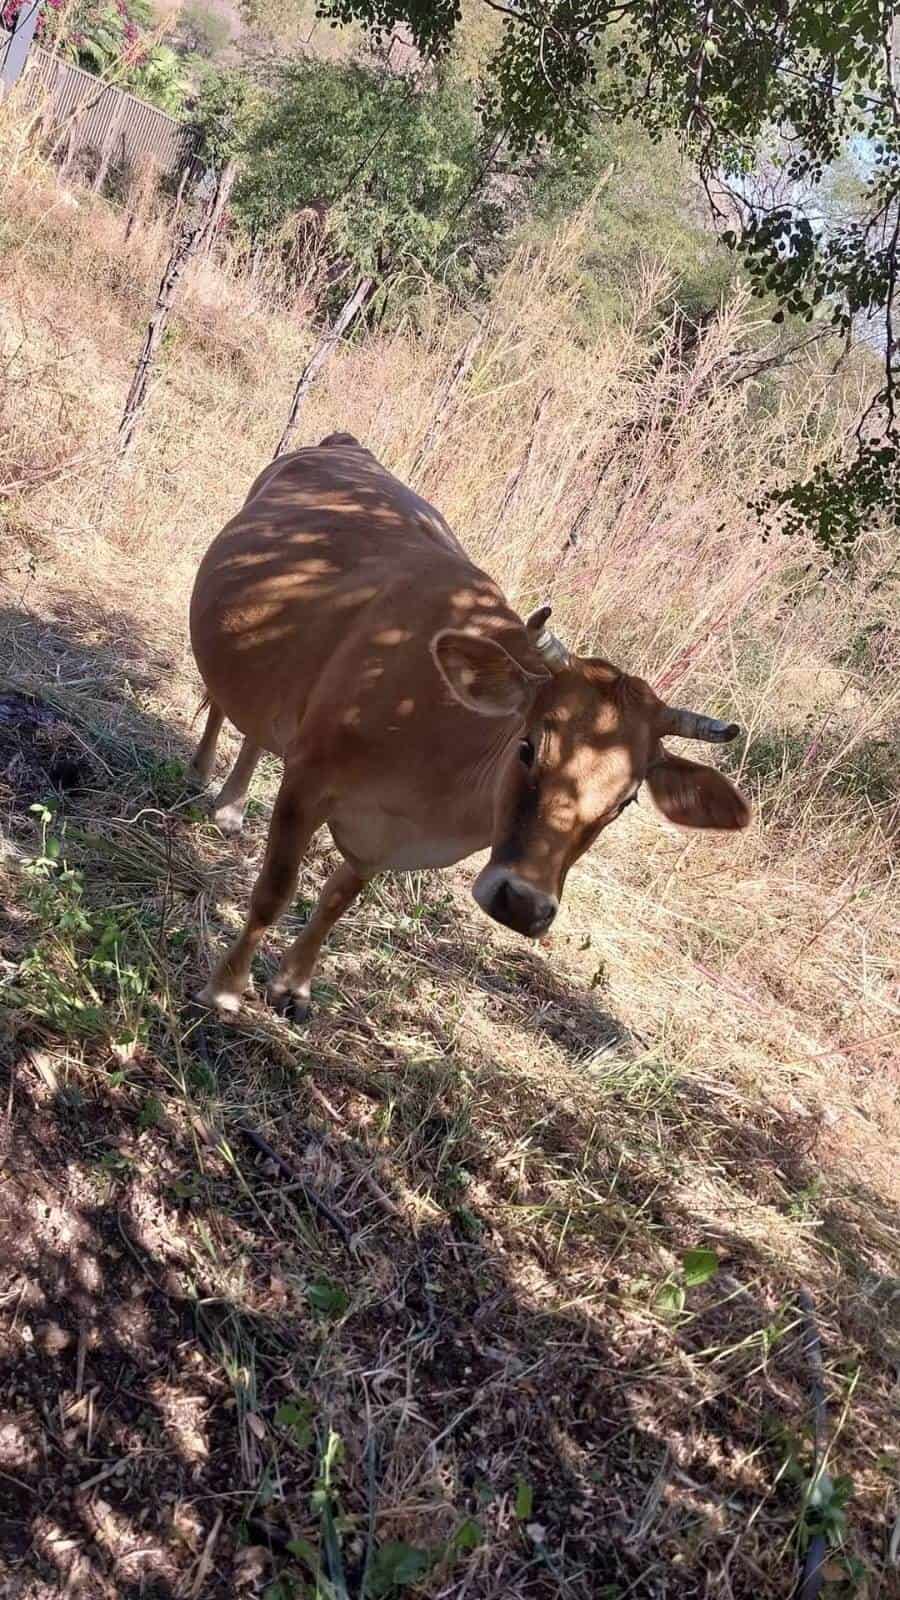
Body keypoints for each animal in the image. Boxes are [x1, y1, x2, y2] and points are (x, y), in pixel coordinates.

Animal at [187, 432, 743, 1017]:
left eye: (627, 801)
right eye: (528, 748)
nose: (522, 905)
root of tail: (345, 443)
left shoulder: (380, 841)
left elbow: (336, 901)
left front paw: (293, 986)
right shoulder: (307, 782)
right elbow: (275, 892)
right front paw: (225, 989)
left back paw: (232, 807)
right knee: (225, 703)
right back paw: (214, 788)